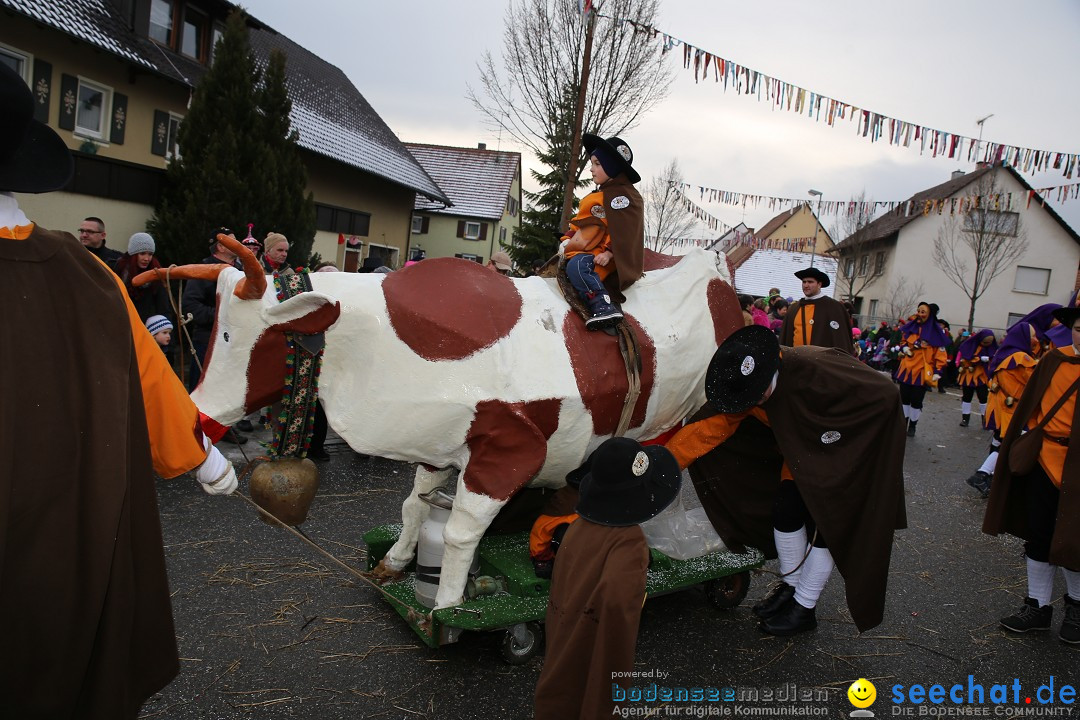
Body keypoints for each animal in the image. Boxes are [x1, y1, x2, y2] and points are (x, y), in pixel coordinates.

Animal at [143, 237, 743, 608]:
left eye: (233, 337)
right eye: (214, 331)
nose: (195, 417)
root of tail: (712, 264)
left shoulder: (510, 449)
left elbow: (458, 530)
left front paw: (449, 604)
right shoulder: (441, 441)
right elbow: (414, 505)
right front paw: (395, 562)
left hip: (687, 414)